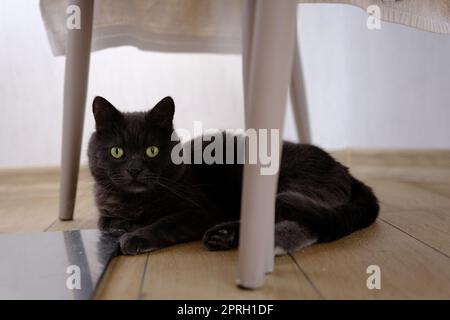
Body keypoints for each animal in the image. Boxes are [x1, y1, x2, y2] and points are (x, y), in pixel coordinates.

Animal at [88, 96, 380, 256]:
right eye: (117, 151)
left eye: (151, 150)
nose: (134, 170)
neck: (134, 202)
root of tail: (344, 169)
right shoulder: (106, 214)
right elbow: (107, 223)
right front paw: (125, 226)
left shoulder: (201, 210)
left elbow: (165, 222)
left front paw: (136, 236)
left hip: (291, 185)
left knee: (296, 219)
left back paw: (228, 236)